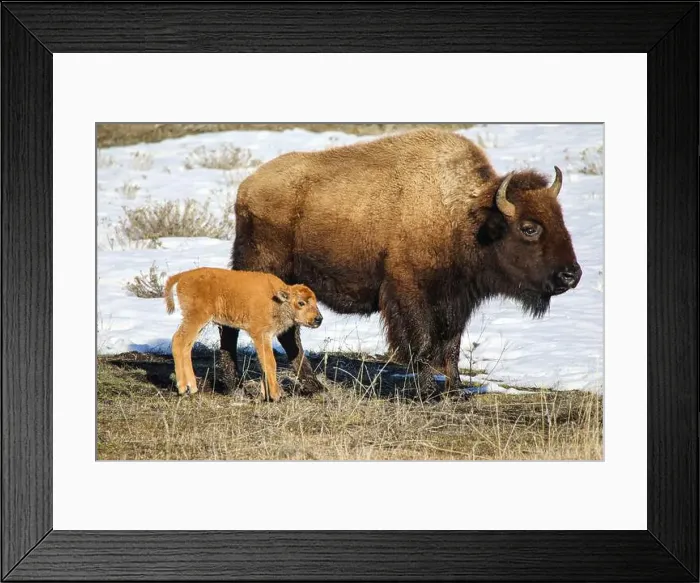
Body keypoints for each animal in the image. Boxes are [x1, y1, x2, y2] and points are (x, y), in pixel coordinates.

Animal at [217, 128, 581, 398]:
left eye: (561, 218)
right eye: (529, 228)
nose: (571, 275)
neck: (463, 216)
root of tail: (246, 189)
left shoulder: (456, 301)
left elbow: (451, 345)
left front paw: (455, 390)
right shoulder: (410, 293)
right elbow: (423, 343)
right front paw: (427, 392)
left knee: (288, 333)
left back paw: (313, 386)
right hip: (261, 268)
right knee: (237, 324)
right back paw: (234, 384)